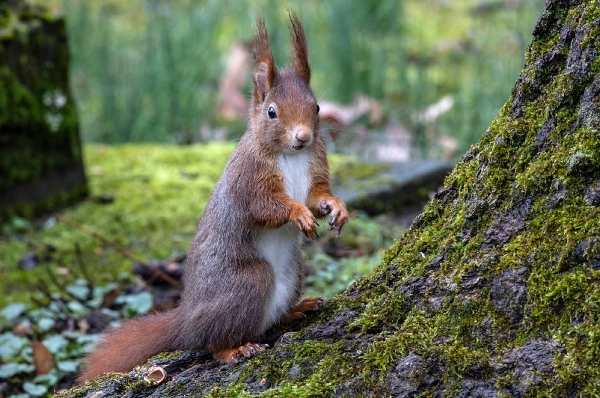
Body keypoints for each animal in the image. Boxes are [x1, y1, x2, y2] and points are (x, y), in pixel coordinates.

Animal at [76, 14, 346, 384]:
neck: (291, 156)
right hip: (248, 282)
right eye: (272, 112)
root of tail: (186, 321)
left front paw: (337, 208)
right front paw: (298, 213)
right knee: (213, 343)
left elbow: (319, 196)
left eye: (317, 106)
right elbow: (265, 207)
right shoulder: (248, 181)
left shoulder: (314, 167)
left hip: (294, 271)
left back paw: (298, 309)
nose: (303, 136)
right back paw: (235, 349)